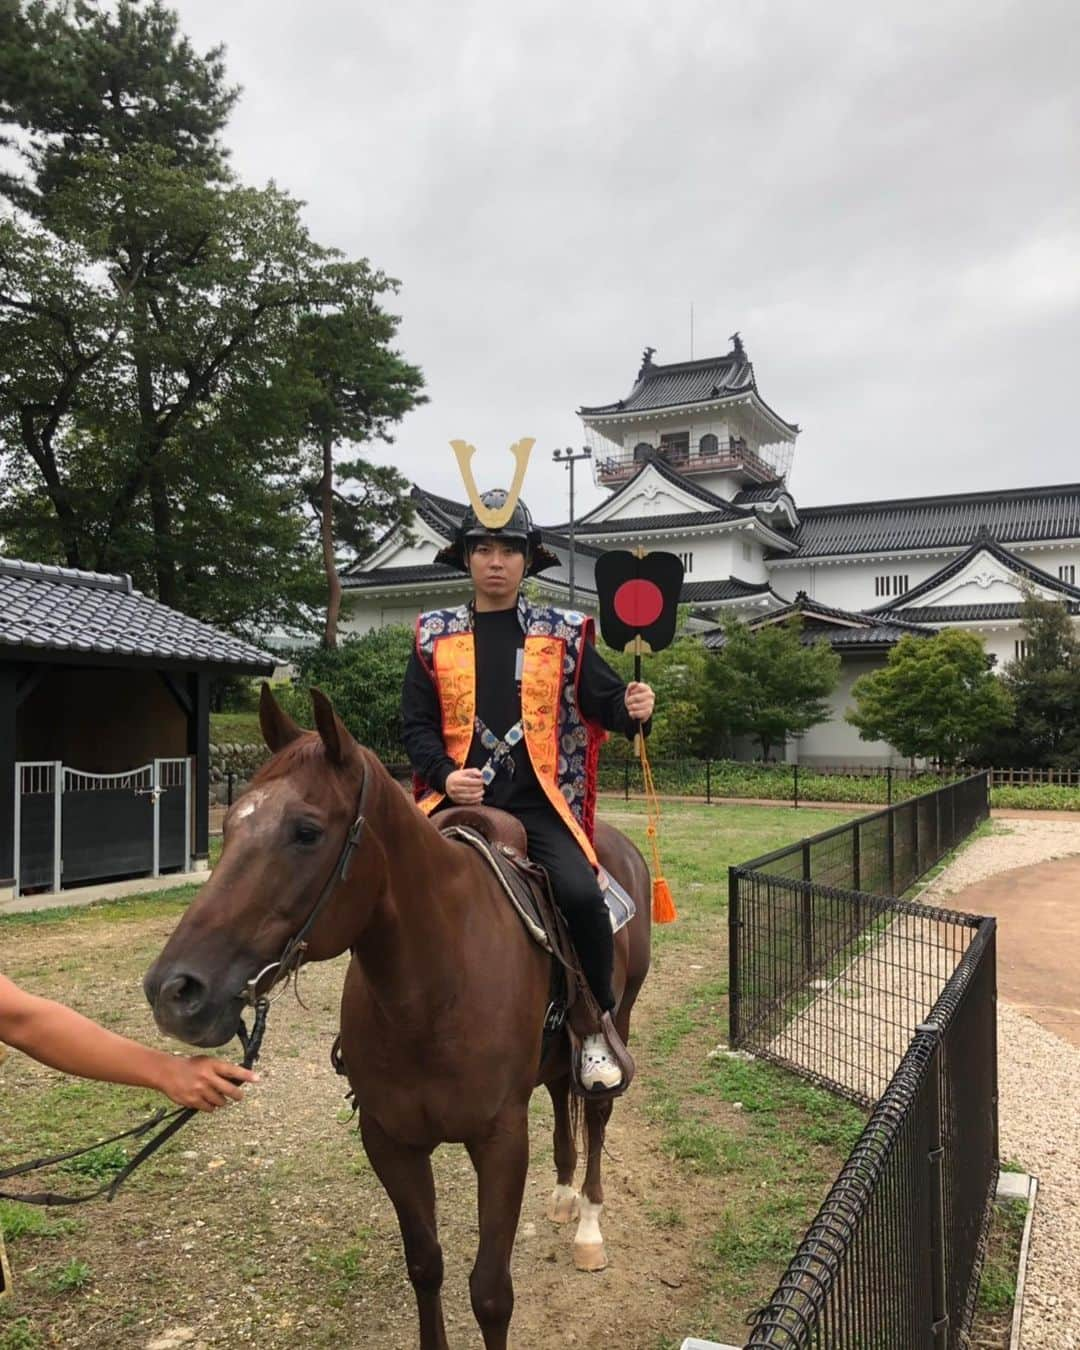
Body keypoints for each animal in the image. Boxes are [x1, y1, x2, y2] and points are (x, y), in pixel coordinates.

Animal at [142, 691, 650, 1344]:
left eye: (306, 832)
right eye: (228, 829)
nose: (174, 990)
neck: (431, 994)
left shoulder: (500, 1141)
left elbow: (491, 1294)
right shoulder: (389, 1140)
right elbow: (425, 1265)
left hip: (617, 1021)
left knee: (596, 1110)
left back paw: (587, 1222)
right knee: (562, 1093)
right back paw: (562, 1196)